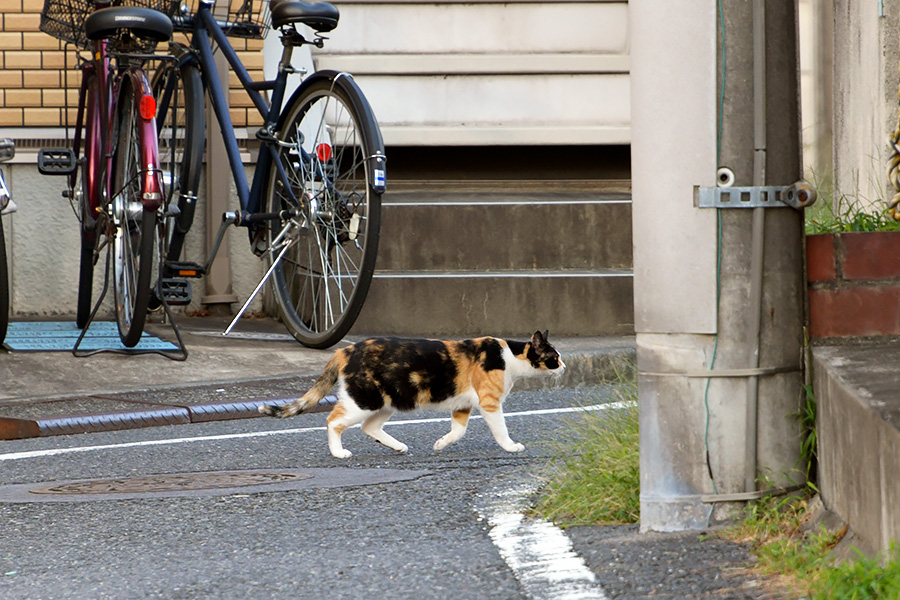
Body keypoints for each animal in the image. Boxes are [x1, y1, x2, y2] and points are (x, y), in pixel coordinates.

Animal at [260, 330, 568, 458]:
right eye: (554, 357)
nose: (565, 366)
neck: (510, 356)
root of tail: (344, 349)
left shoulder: (463, 404)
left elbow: (458, 431)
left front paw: (441, 444)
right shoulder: (489, 403)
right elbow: (501, 429)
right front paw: (511, 446)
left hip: (387, 402)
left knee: (369, 427)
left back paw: (398, 447)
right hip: (365, 399)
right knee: (333, 421)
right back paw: (339, 453)